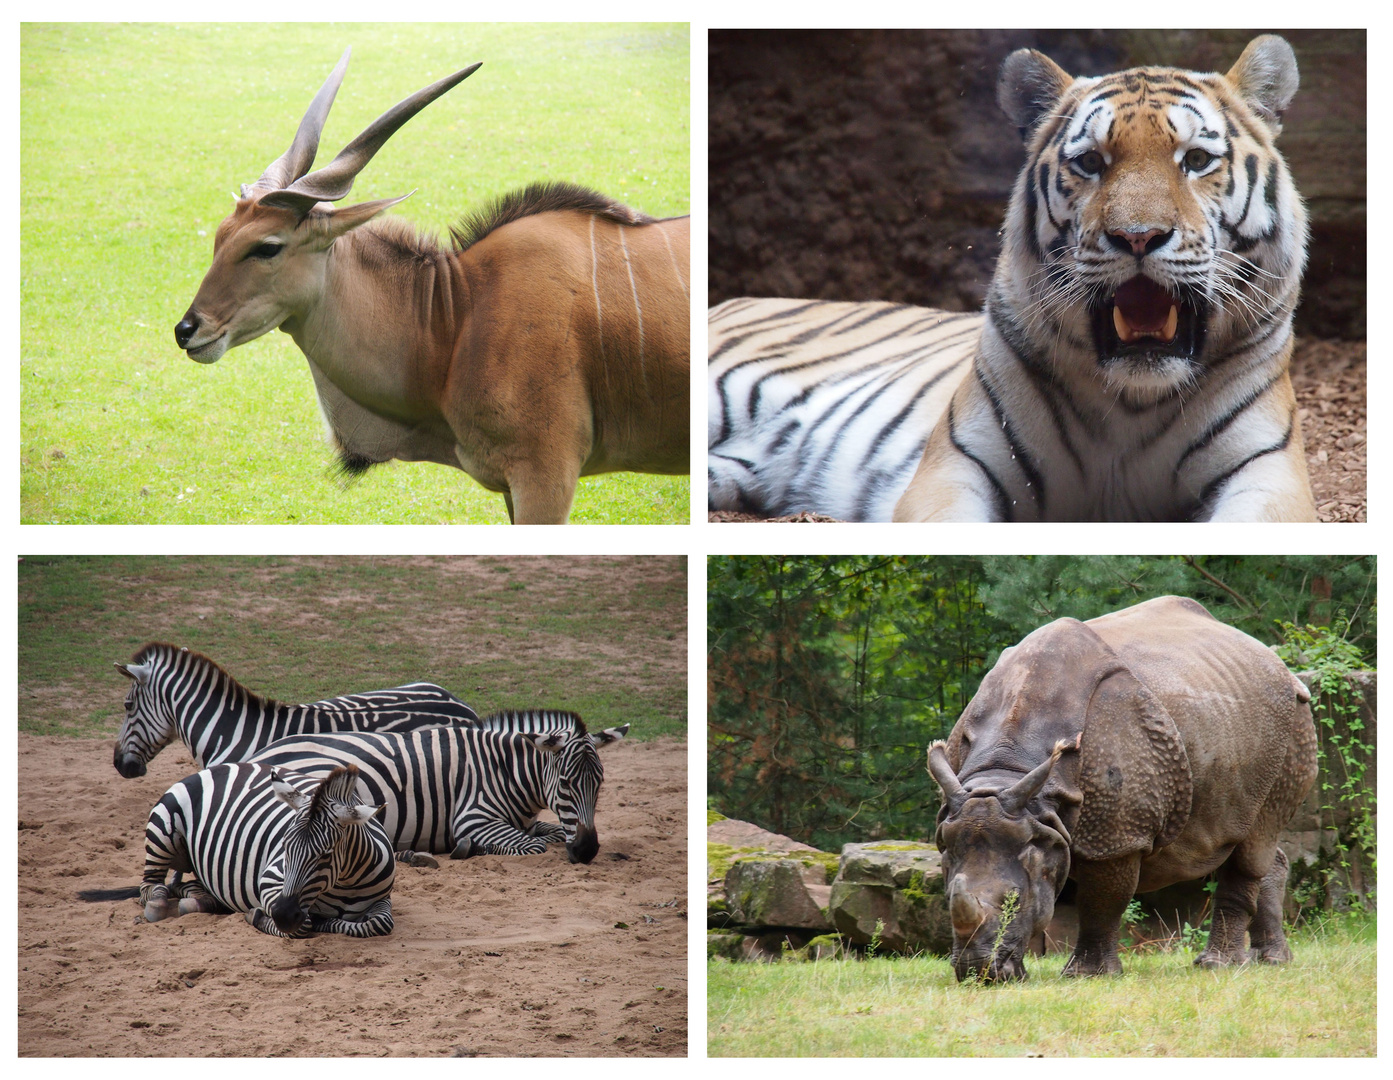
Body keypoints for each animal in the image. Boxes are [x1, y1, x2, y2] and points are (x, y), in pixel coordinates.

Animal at [79, 763, 395, 930]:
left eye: (326, 855)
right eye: (284, 847)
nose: (283, 915)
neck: (346, 884)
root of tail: (216, 767)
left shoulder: (384, 900)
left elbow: (378, 924)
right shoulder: (270, 883)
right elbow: (302, 924)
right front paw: (259, 916)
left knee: (183, 886)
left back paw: (199, 901)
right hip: (163, 829)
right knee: (151, 886)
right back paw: (159, 903)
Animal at [245, 713, 626, 864]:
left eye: (600, 784)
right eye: (565, 783)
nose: (588, 851)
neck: (503, 771)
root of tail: (261, 754)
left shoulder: (528, 821)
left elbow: (549, 832)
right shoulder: (473, 819)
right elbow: (534, 846)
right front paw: (470, 848)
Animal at [707, 34, 1314, 523]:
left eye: (1196, 160)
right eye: (1090, 162)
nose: (1138, 236)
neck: (1131, 403)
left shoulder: (1267, 477)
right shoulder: (953, 469)